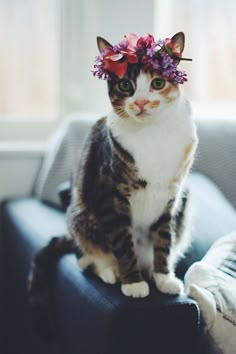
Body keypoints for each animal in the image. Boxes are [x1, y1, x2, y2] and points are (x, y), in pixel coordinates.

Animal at [27, 31, 197, 316]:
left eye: (158, 82)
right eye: (126, 85)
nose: (140, 102)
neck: (152, 133)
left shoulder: (171, 198)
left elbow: (164, 239)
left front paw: (164, 278)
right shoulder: (110, 194)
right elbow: (122, 243)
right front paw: (133, 283)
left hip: (184, 206)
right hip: (80, 215)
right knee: (85, 257)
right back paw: (110, 271)